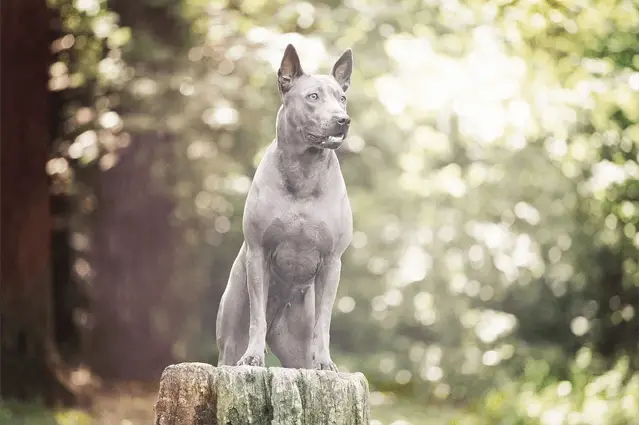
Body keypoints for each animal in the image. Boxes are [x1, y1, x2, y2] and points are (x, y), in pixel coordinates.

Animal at [215, 42, 356, 368]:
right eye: (313, 97)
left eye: (342, 98)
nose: (342, 119)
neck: (304, 170)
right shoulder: (258, 253)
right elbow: (257, 316)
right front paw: (253, 356)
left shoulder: (332, 262)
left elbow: (324, 321)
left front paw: (327, 363)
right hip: (228, 342)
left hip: (297, 347)